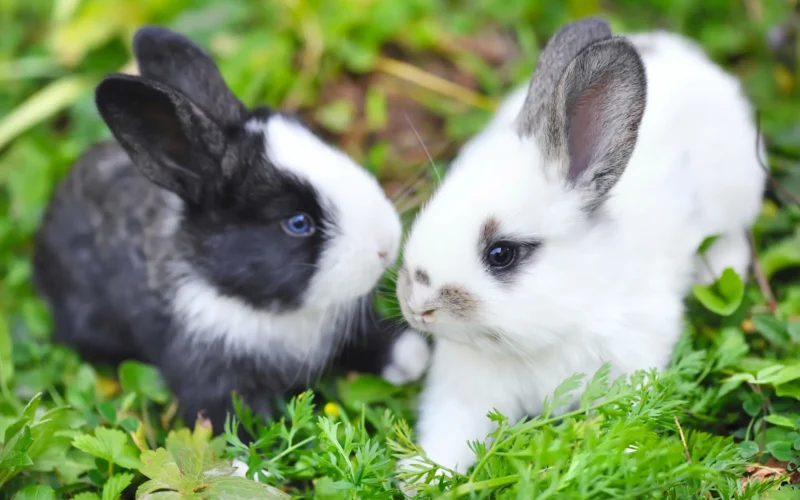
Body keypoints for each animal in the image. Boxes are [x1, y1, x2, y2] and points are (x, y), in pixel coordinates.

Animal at [31, 25, 431, 436]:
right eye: (297, 223)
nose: (386, 245)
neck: (253, 304)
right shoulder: (210, 374)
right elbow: (233, 430)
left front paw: (413, 358)